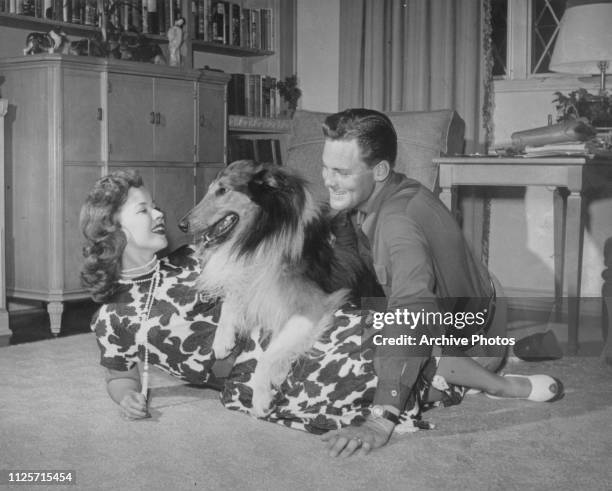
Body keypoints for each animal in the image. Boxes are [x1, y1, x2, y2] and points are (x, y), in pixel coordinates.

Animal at [177, 160, 356, 418]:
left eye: (222, 190)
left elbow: (268, 355)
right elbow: (231, 300)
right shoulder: (249, 278)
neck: (263, 234)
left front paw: (261, 396)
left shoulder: (311, 308)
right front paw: (222, 341)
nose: (181, 225)